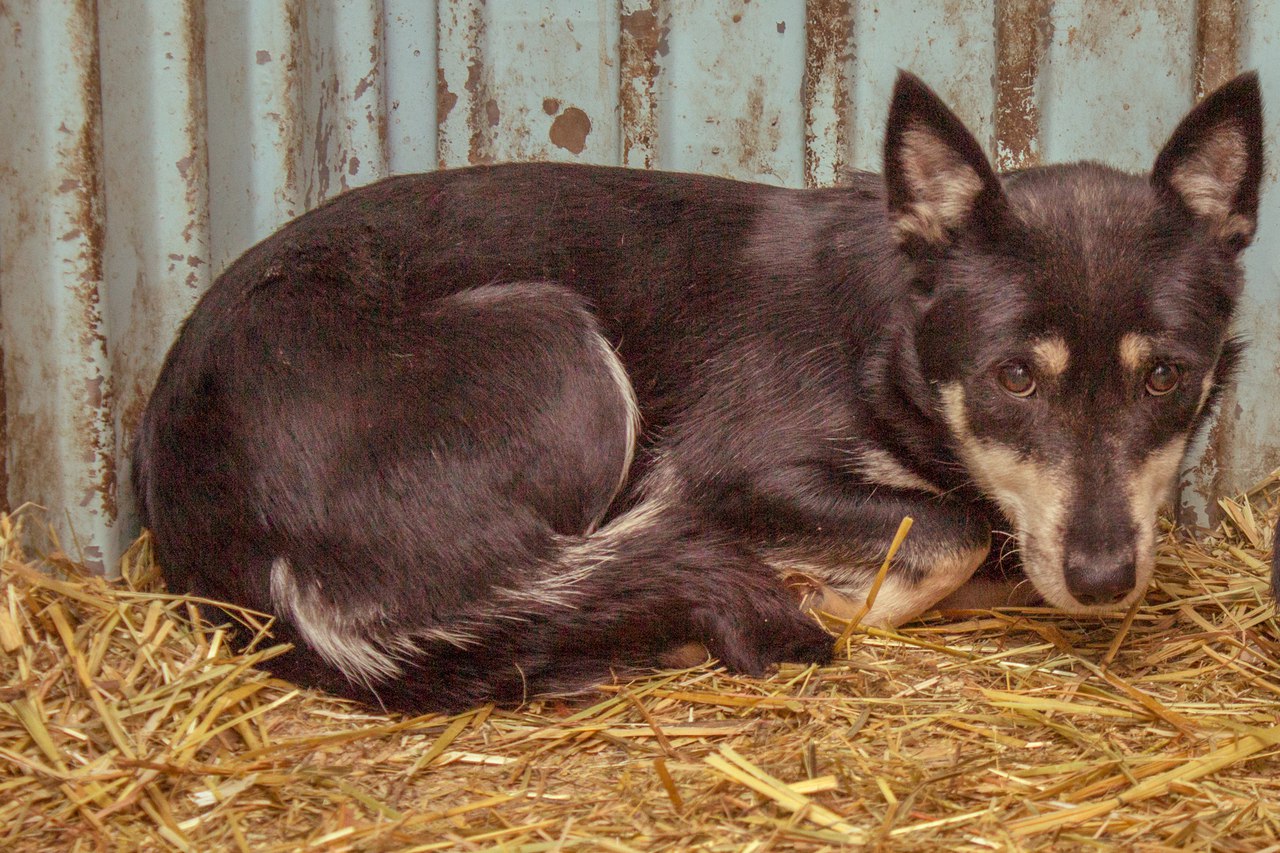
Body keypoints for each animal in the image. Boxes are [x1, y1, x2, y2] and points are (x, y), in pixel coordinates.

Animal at [129, 71, 1259, 712]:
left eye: (1167, 375)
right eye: (1012, 376)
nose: (1105, 578)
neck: (889, 336)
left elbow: (983, 531)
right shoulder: (717, 470)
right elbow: (948, 529)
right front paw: (828, 595)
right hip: (559, 346)